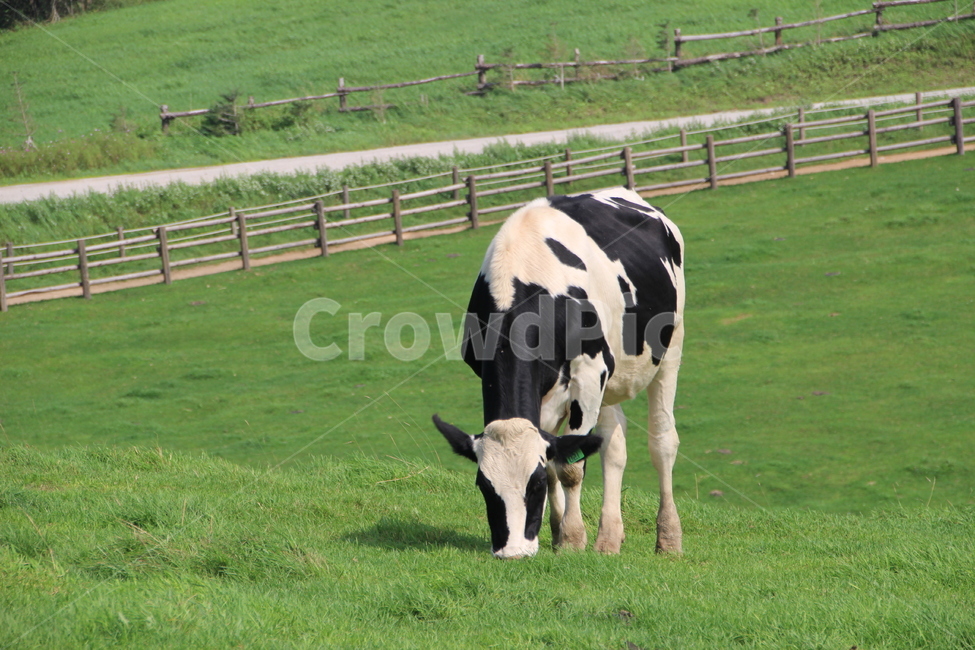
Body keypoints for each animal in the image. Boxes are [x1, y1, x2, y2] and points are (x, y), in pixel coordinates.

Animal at [433, 187, 685, 559]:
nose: (513, 552)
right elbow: (558, 456)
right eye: (484, 485)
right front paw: (556, 531)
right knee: (613, 444)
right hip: (609, 379)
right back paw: (609, 538)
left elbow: (569, 467)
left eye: (533, 484)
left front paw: (571, 538)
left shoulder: (590, 373)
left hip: (670, 346)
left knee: (662, 441)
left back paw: (668, 538)